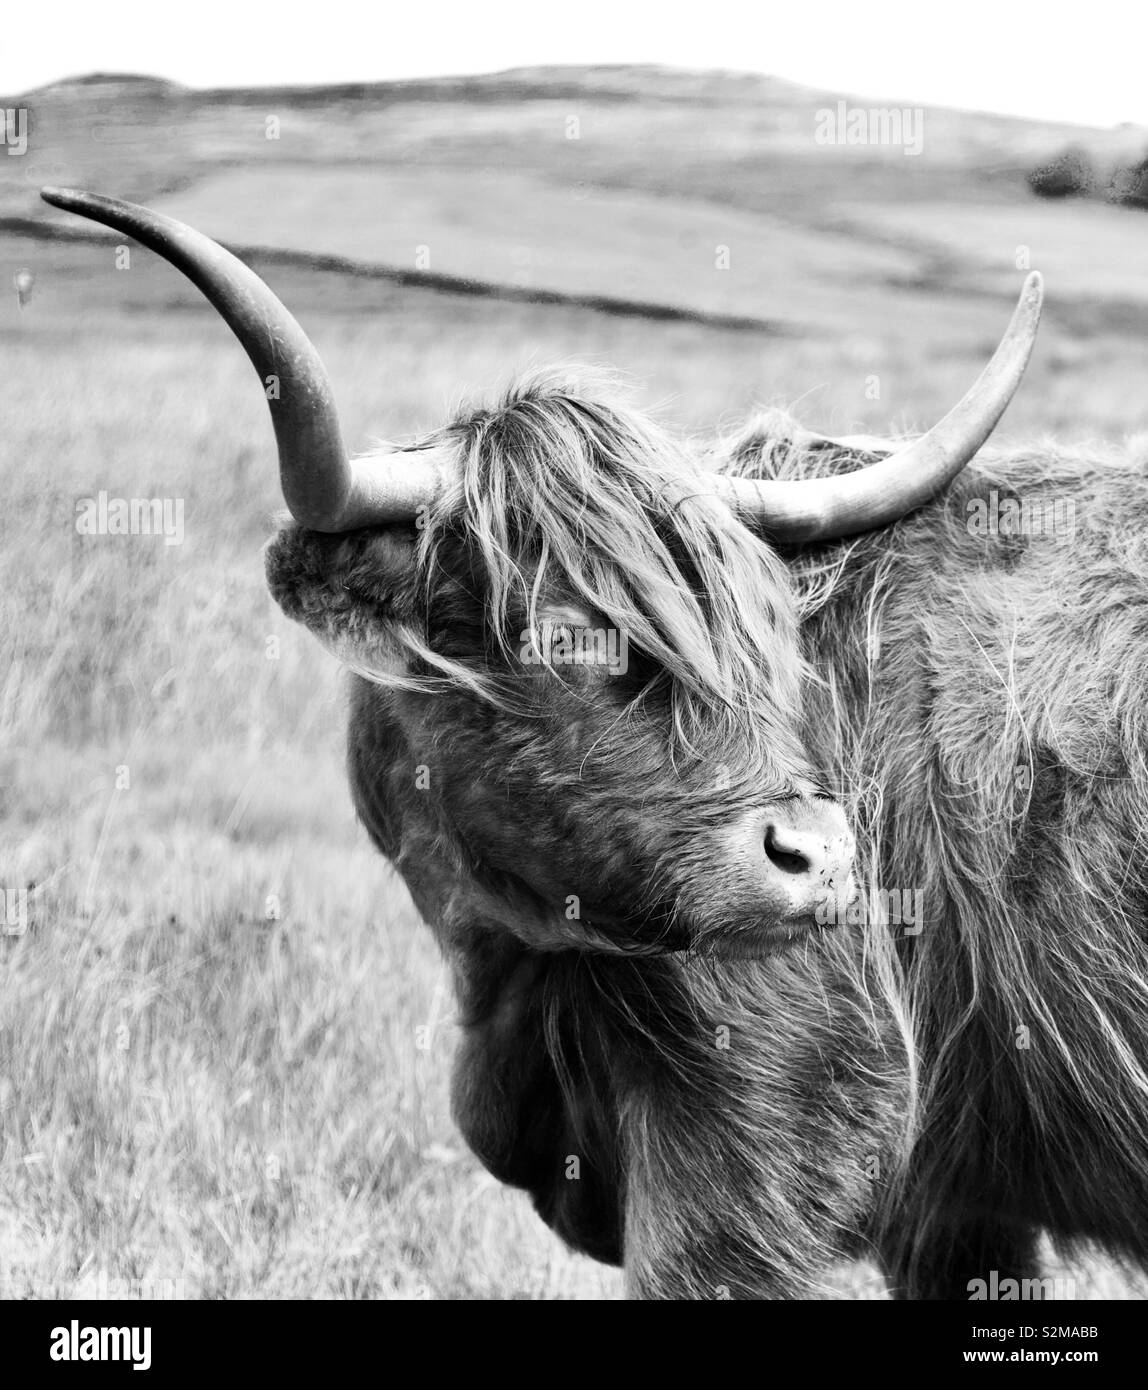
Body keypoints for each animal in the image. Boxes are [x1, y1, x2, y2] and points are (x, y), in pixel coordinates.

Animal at [43, 187, 1148, 1301]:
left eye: (768, 632)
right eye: (557, 632)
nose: (823, 857)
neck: (518, 970)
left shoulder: (760, 1153)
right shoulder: (961, 1212)